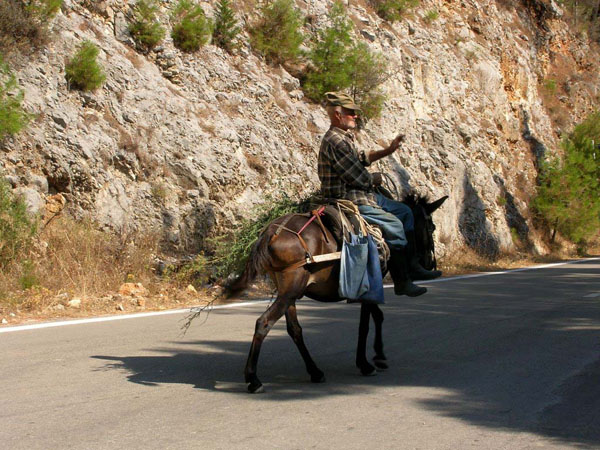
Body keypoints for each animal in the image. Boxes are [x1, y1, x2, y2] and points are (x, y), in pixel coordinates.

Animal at [229, 192, 446, 392]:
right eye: (431, 227)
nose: (429, 263)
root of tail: (271, 233)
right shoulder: (370, 286)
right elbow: (365, 325)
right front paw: (366, 364)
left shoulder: (370, 290)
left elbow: (377, 316)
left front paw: (379, 355)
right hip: (290, 291)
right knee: (264, 322)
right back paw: (253, 379)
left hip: (288, 293)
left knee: (294, 330)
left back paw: (315, 372)